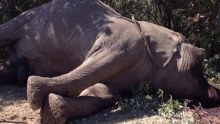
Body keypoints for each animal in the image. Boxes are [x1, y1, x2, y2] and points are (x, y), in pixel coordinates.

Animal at [0, 0, 219, 123]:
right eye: (201, 60)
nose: (216, 92)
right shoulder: (124, 40)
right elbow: (99, 63)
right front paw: (35, 93)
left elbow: (101, 94)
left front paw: (53, 109)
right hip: (29, 16)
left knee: (9, 70)